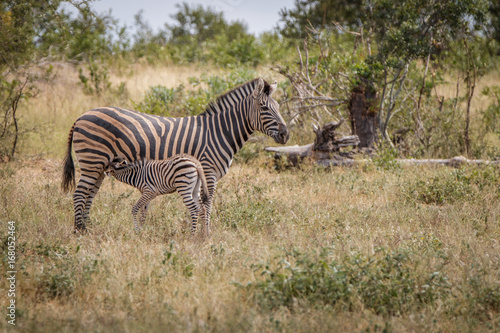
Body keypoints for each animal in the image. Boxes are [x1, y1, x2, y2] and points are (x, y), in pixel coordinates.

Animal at [62, 78, 290, 232]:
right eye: (264, 107)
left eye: (278, 107)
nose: (286, 134)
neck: (218, 132)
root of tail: (82, 115)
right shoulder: (208, 171)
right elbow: (207, 204)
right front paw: (205, 236)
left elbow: (201, 204)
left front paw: (199, 233)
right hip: (92, 161)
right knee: (80, 194)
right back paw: (79, 232)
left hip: (100, 166)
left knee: (90, 195)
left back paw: (88, 228)